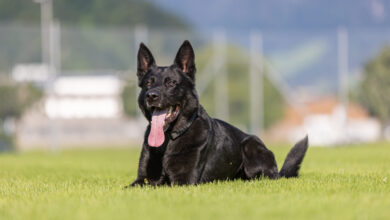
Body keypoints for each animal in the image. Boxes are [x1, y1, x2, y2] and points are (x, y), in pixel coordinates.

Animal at [127, 40, 308, 186]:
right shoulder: (142, 180)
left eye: (171, 83)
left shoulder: (184, 181)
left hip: (250, 145)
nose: (151, 95)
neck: (168, 140)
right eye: (148, 83)